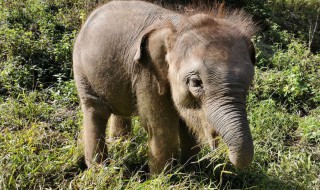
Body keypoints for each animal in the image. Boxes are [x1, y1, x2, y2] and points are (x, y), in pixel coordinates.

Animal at [73, 0, 258, 174]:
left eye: (249, 84)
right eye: (196, 82)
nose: (222, 156)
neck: (178, 26)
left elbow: (187, 124)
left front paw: (191, 171)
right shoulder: (147, 73)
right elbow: (161, 127)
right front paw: (162, 178)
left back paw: (121, 145)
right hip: (81, 69)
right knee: (95, 110)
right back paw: (99, 169)